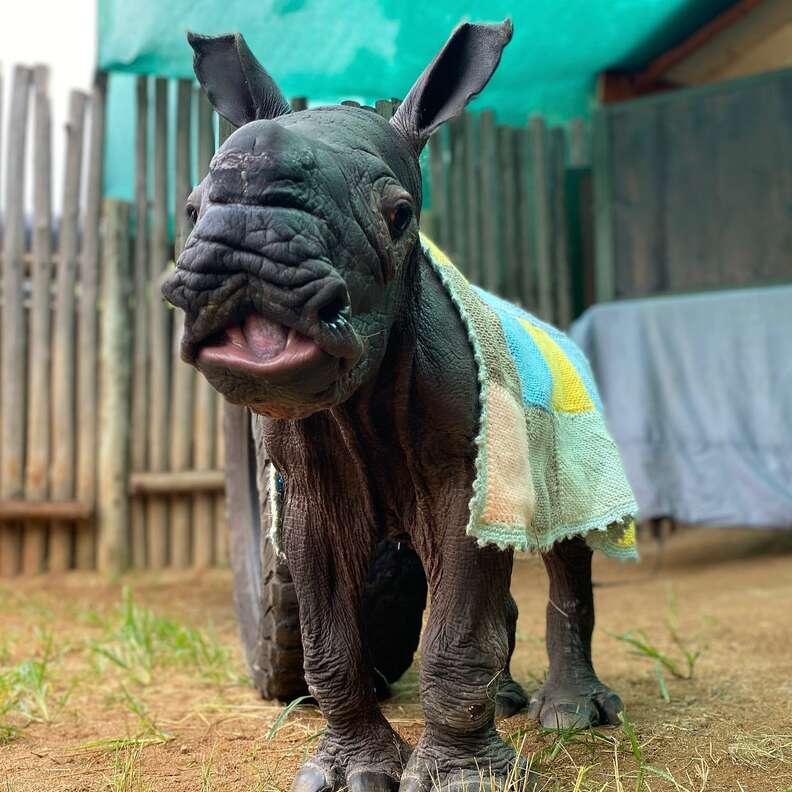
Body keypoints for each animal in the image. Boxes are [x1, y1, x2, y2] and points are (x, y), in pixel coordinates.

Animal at [164, 21, 640, 792]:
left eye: (400, 216)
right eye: (192, 209)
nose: (248, 236)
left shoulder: (470, 478)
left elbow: (455, 633)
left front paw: (464, 780)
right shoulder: (310, 497)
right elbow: (329, 641)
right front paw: (348, 773)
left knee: (568, 538)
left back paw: (570, 716)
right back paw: (509, 703)